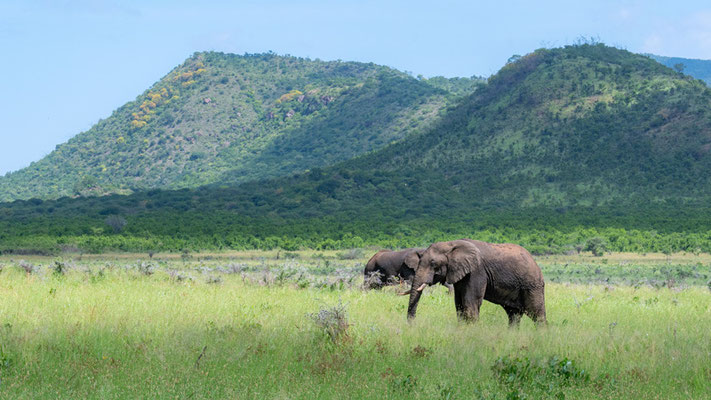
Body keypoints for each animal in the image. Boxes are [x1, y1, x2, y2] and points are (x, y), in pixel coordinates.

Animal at [404, 239, 548, 326]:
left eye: (433, 263)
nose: (412, 325)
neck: (451, 244)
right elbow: (459, 305)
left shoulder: (476, 272)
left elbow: (470, 303)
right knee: (514, 315)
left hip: (532, 285)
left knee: (537, 314)